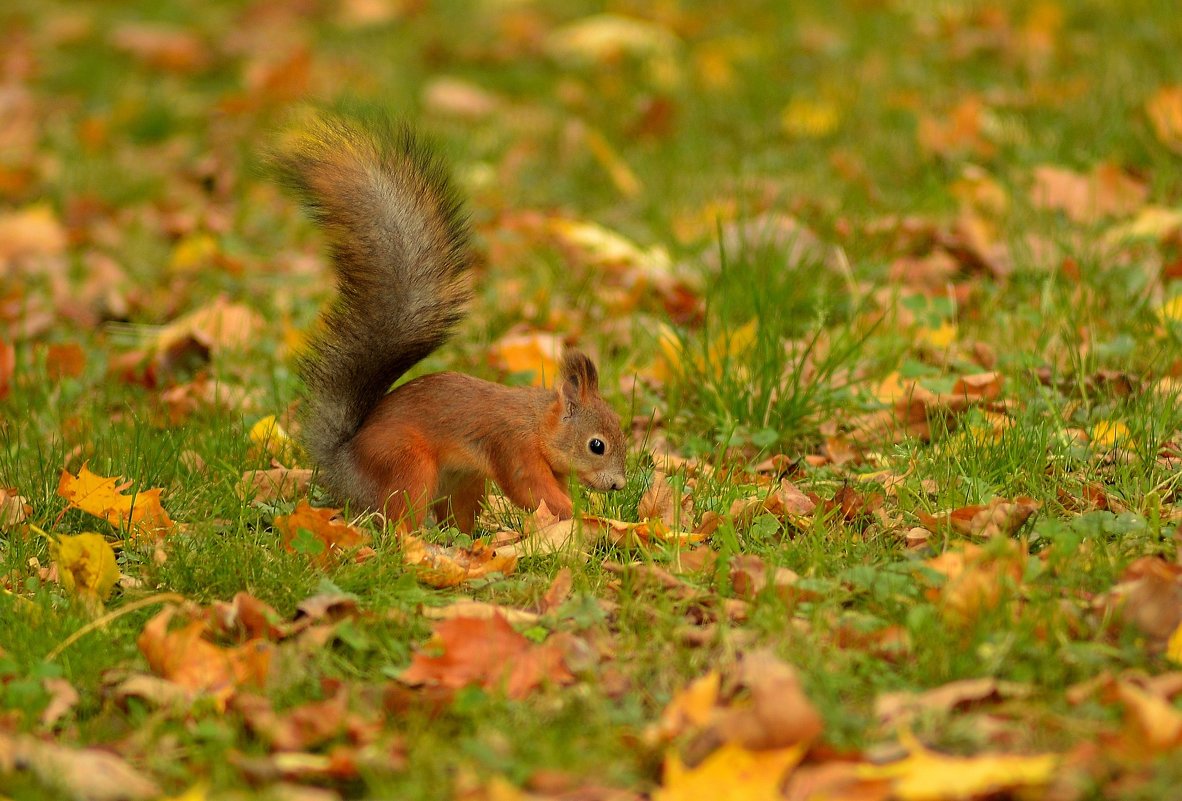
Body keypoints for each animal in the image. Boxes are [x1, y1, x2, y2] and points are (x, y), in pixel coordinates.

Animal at [270, 109, 628, 529]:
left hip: (462, 481)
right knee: (397, 518)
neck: (540, 423)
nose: (619, 485)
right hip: (408, 466)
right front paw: (580, 517)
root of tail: (344, 467)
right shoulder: (514, 447)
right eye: (596, 445)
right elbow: (531, 489)